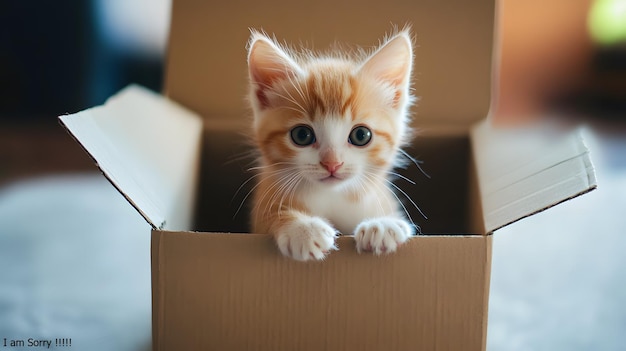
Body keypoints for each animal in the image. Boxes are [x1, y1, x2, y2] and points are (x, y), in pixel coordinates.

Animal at [246, 29, 416, 262]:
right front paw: (302, 229)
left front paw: (383, 223)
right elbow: (269, 215)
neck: (332, 194)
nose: (332, 164)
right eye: (302, 135)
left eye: (361, 135)